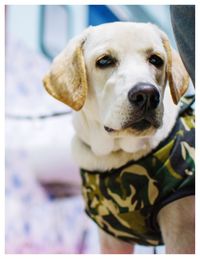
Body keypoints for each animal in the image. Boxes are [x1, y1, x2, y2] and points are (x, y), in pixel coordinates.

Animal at [43, 22, 195, 254]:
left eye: (156, 60)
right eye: (104, 61)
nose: (147, 95)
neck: (118, 155)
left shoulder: (182, 232)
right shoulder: (112, 238)